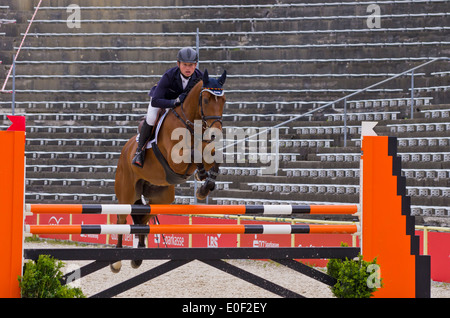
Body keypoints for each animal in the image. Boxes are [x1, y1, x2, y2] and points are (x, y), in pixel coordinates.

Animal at [110, 69, 227, 274]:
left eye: (224, 101)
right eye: (205, 100)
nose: (216, 134)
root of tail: (125, 150)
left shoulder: (207, 151)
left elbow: (213, 157)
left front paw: (204, 187)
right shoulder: (176, 159)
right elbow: (193, 154)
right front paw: (201, 176)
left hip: (162, 196)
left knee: (143, 218)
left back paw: (138, 257)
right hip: (126, 191)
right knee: (121, 219)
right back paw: (116, 261)